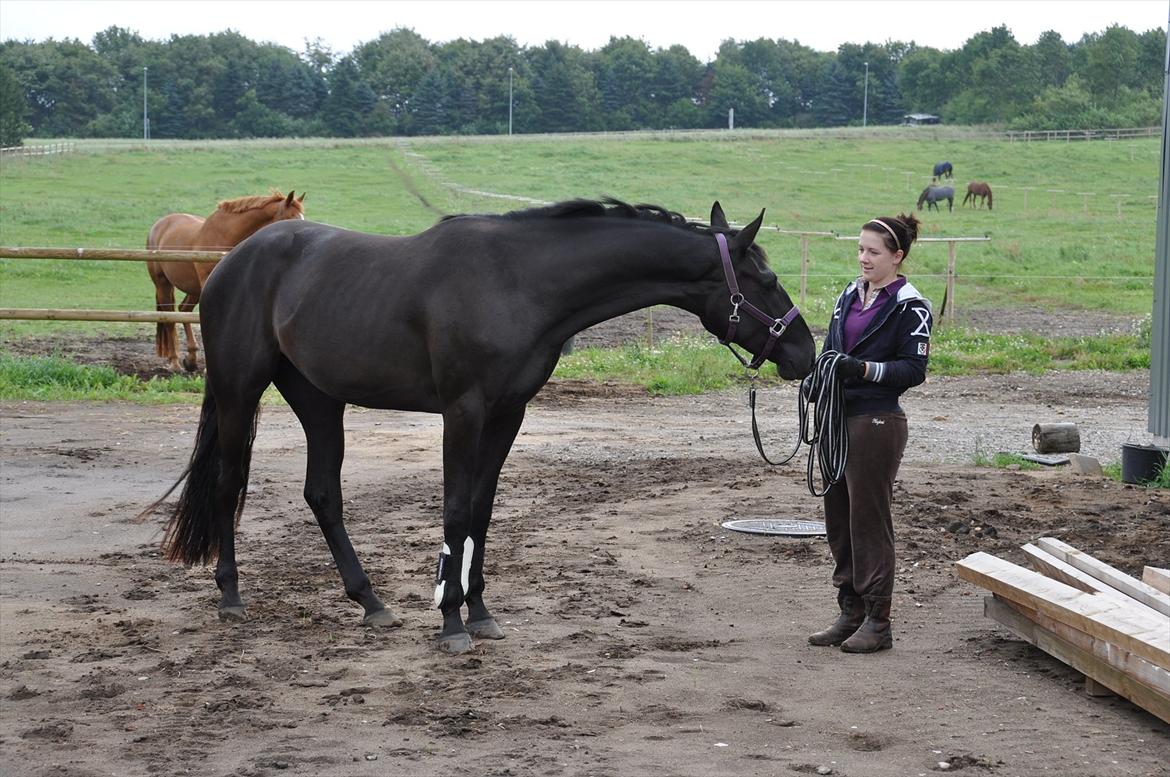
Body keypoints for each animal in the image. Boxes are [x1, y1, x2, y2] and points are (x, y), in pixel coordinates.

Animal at [147, 189, 306, 369]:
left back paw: (191, 358)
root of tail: (159, 225)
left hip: (193, 290)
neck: (223, 236)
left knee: (183, 310)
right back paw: (175, 361)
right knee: (169, 319)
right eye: (290, 217)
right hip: (163, 285)